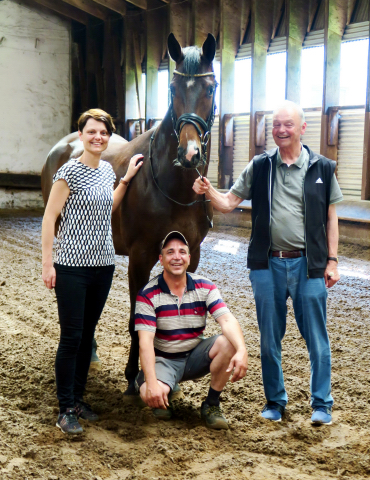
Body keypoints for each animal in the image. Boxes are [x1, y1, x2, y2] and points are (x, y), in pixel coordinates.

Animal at [42, 32, 218, 394]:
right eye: (173, 90)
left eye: (210, 88)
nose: (189, 154)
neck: (174, 188)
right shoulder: (139, 257)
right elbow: (138, 319)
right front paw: (132, 378)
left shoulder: (190, 256)